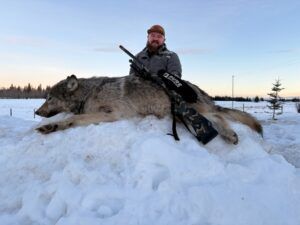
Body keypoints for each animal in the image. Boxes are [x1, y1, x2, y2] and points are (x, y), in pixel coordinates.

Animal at [36, 74, 262, 144]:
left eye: (49, 98)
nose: (36, 112)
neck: (89, 93)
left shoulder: (111, 114)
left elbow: (71, 120)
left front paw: (51, 127)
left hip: (196, 110)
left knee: (218, 115)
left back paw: (230, 135)